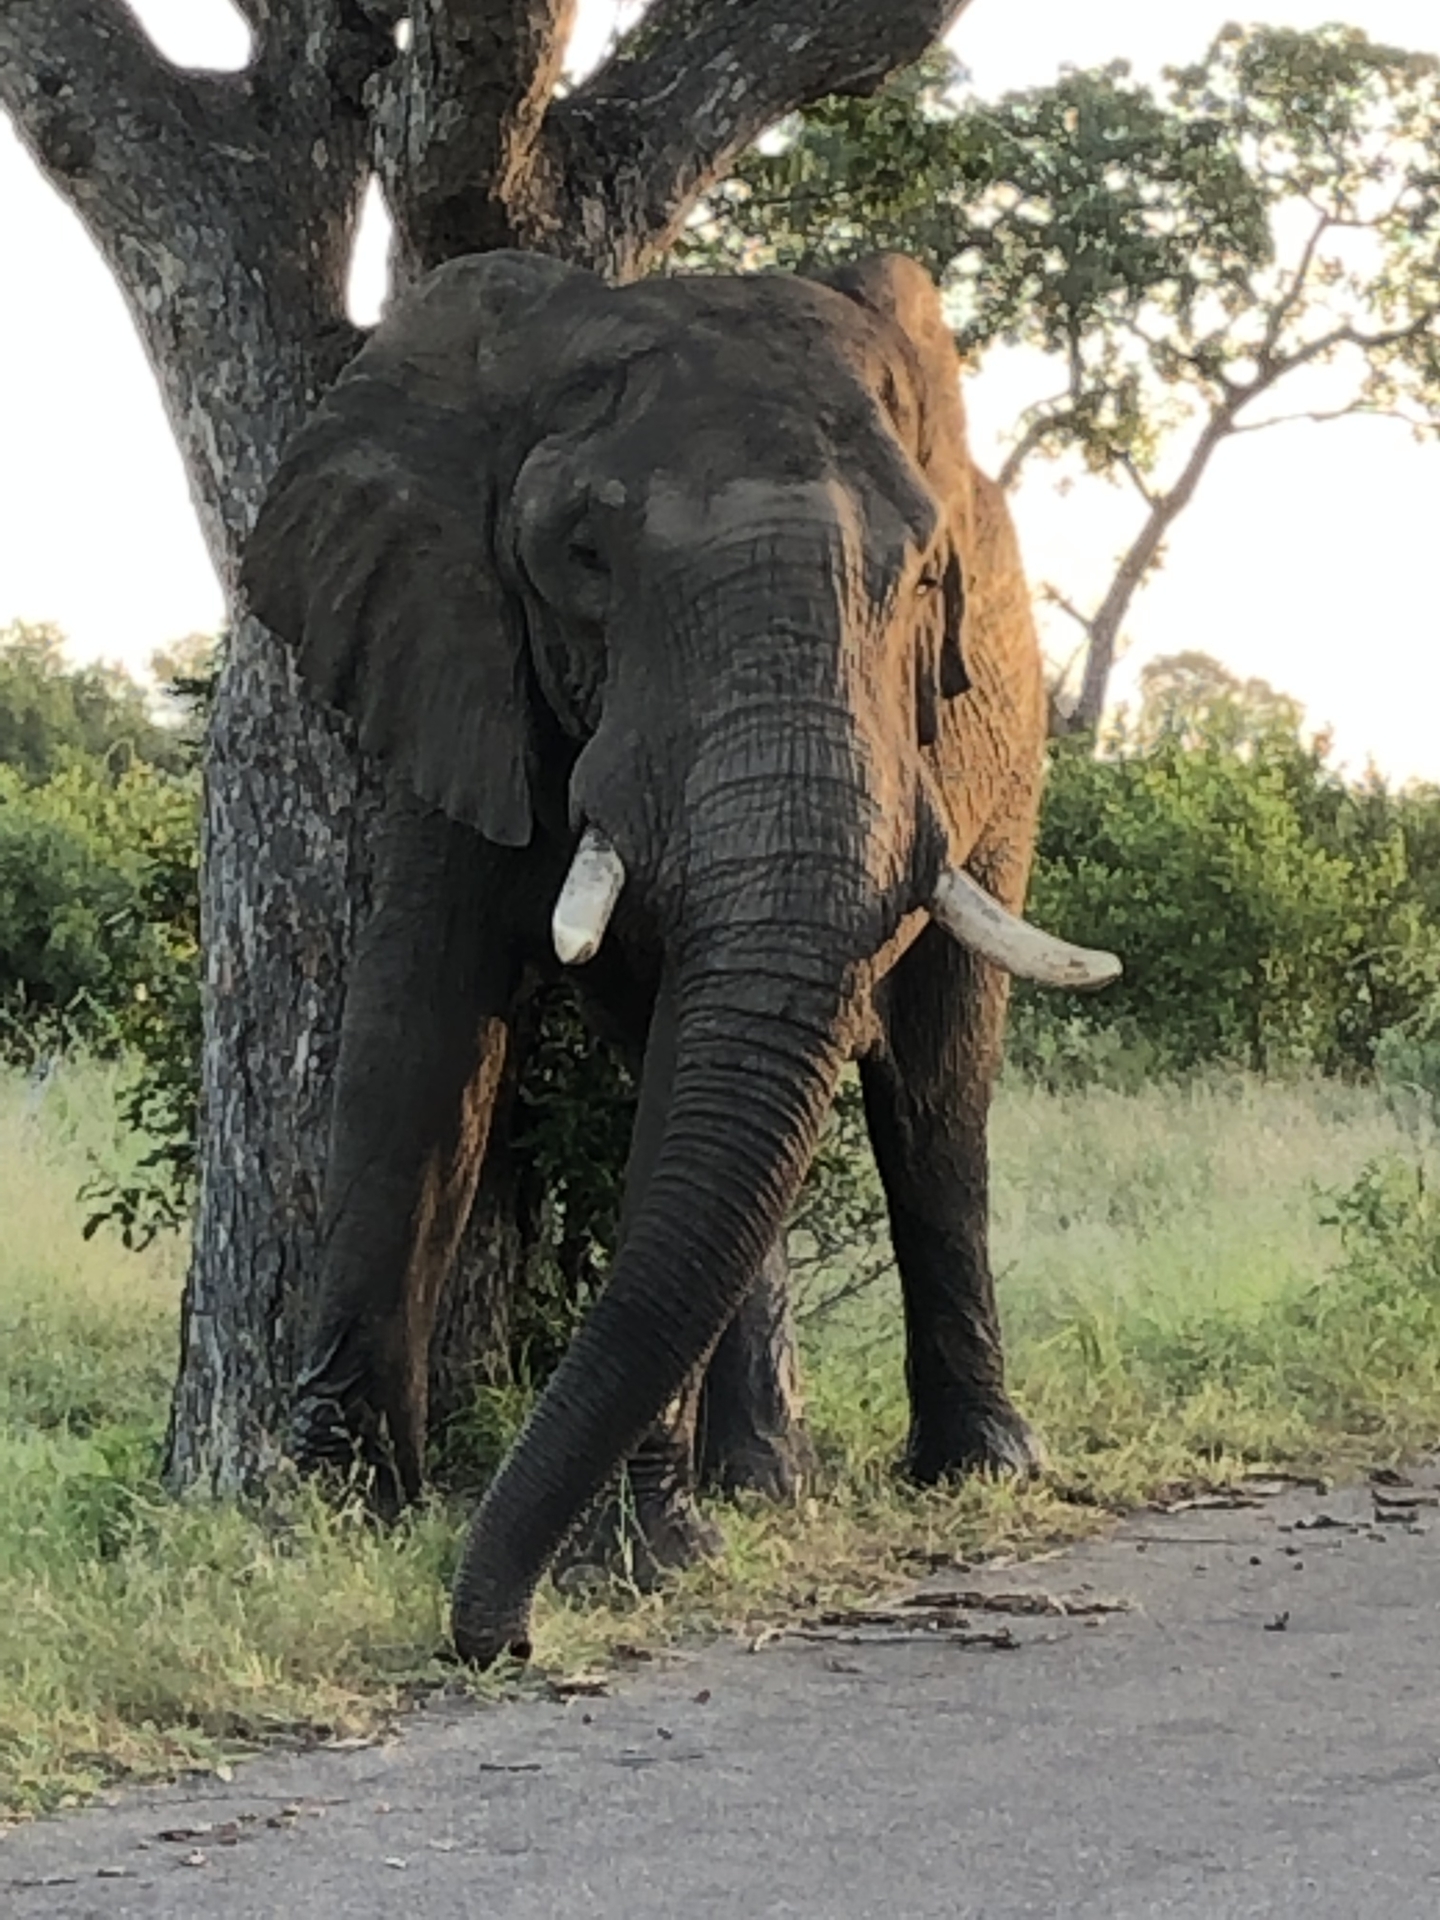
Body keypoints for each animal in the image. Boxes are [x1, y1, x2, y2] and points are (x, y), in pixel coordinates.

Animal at [241, 247, 1119, 1668]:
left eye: (925, 578)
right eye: (582, 560)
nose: (497, 1640)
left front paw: (635, 1564)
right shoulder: (454, 650)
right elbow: (415, 1036)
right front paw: (316, 1522)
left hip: (1009, 764)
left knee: (937, 1089)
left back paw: (978, 1471)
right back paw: (761, 1489)